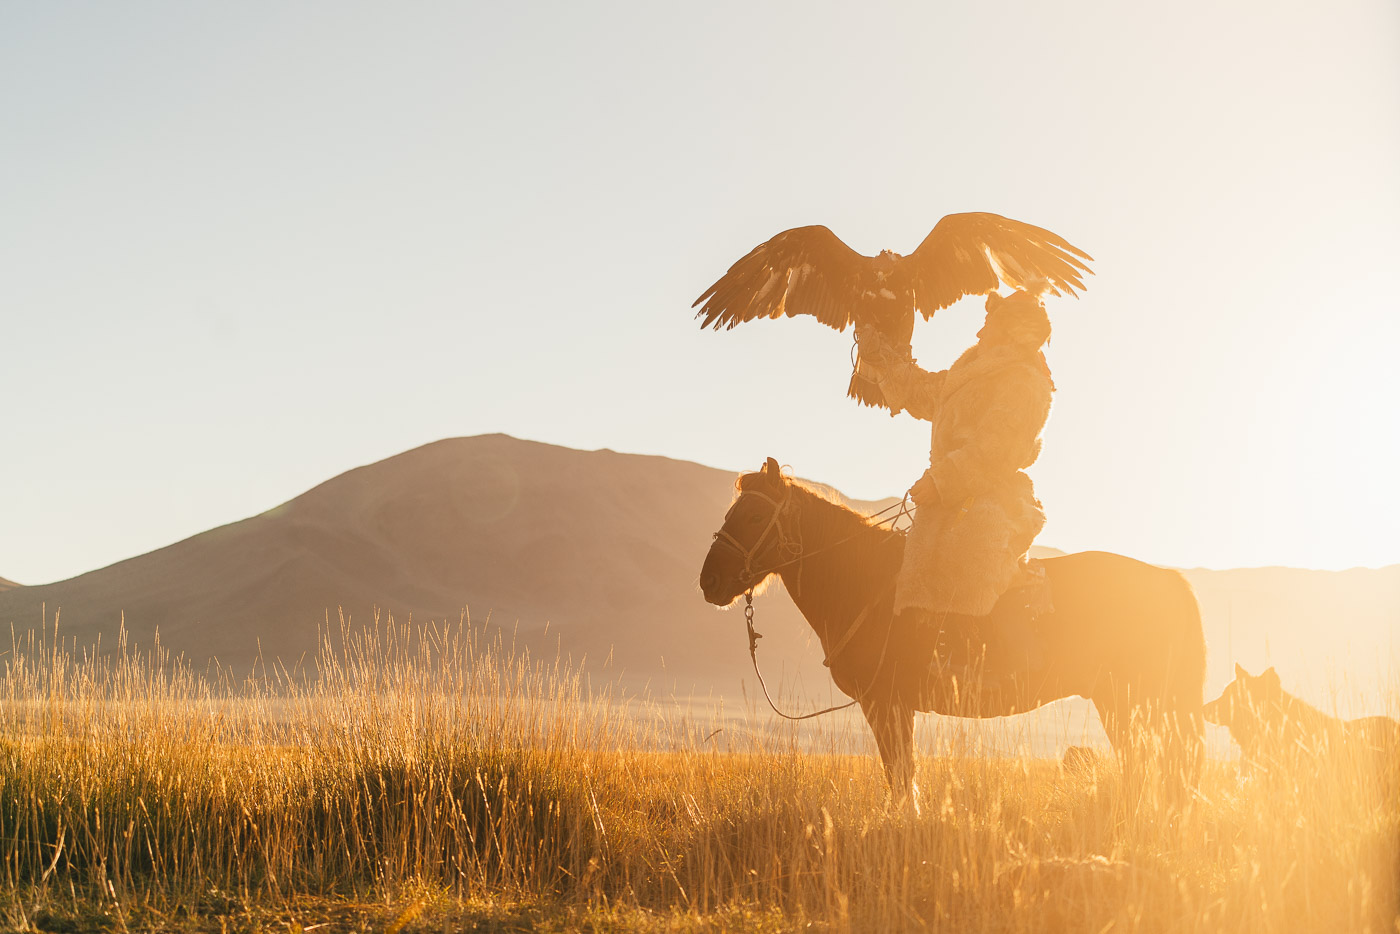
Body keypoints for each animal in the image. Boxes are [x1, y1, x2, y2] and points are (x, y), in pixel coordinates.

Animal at [700, 459, 1204, 806]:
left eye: (754, 516)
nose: (710, 581)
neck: (865, 584)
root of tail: (1169, 580)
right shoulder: (896, 706)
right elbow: (902, 777)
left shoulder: (884, 703)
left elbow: (900, 777)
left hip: (1130, 700)